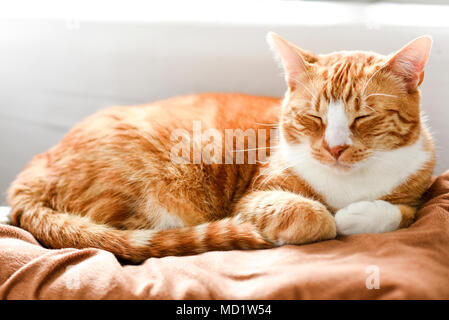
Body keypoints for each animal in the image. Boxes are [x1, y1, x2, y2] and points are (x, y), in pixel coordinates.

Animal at [7, 33, 434, 262]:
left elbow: (404, 212)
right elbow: (318, 217)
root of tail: (37, 164)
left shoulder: (419, 187)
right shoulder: (255, 199)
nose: (335, 149)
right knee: (122, 235)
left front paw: (360, 214)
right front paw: (333, 217)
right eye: (313, 117)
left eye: (363, 118)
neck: (348, 184)